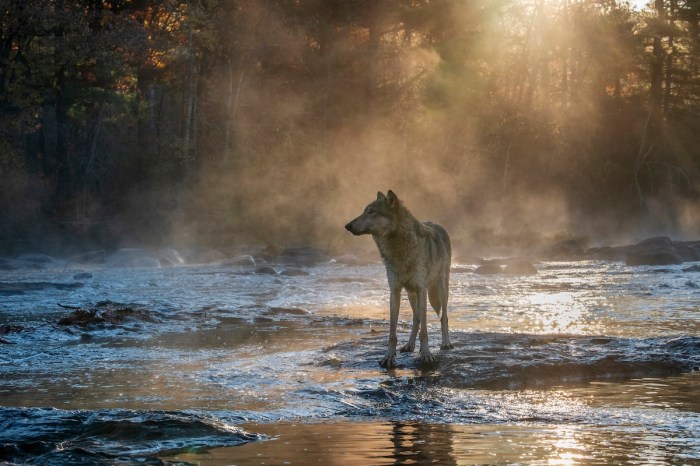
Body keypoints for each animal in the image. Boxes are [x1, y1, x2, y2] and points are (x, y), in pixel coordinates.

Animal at [345, 190, 453, 368]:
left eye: (372, 211)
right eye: (364, 211)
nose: (347, 226)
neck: (398, 248)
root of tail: (438, 225)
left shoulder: (422, 289)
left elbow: (425, 331)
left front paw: (426, 355)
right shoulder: (394, 291)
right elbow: (392, 333)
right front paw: (389, 358)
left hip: (441, 288)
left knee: (443, 316)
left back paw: (446, 343)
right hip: (410, 294)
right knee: (416, 319)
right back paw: (410, 345)